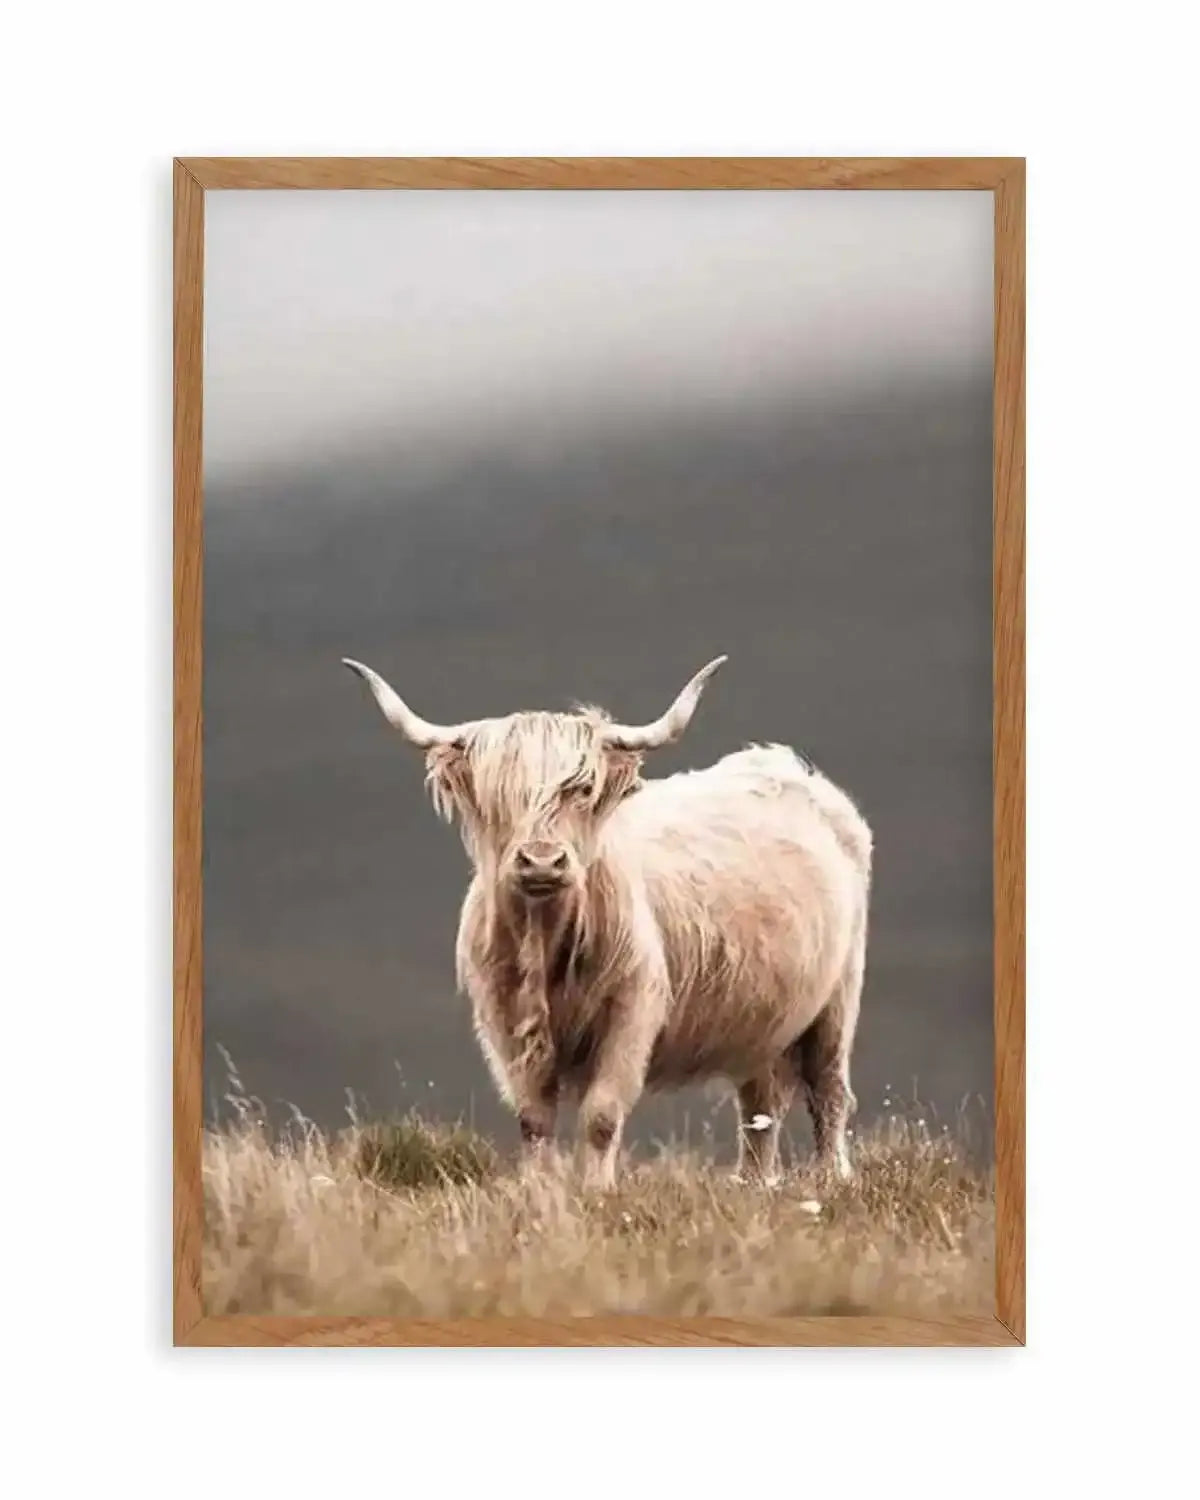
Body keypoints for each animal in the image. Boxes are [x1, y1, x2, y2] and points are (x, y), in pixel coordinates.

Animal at [343, 655, 872, 1189]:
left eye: (582, 789)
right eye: (499, 796)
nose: (541, 861)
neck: (547, 945)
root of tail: (781, 765)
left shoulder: (632, 1012)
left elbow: (601, 1115)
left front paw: (597, 1191)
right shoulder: (504, 1022)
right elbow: (533, 1119)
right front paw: (540, 1190)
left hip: (838, 999)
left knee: (828, 1091)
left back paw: (834, 1178)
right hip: (762, 1019)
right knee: (760, 1105)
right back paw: (754, 1184)